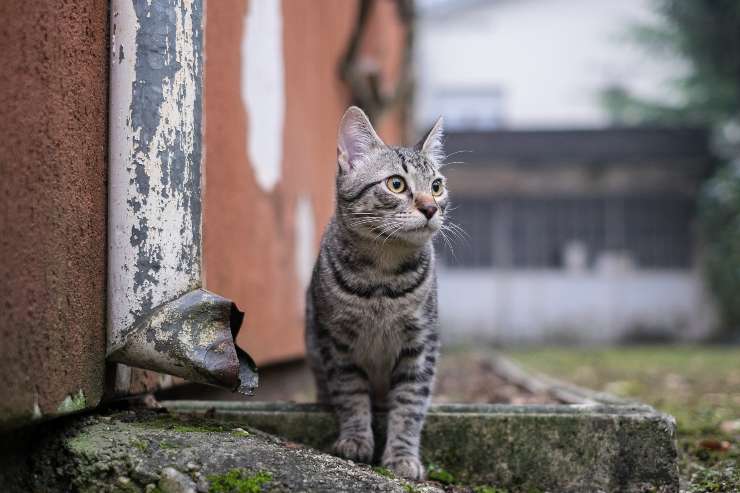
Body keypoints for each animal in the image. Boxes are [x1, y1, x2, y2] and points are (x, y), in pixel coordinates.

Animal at [304, 105, 448, 478]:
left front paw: (402, 456)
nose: (431, 207)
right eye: (396, 184)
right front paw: (356, 439)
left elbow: (410, 405)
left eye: (437, 186)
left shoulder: (420, 344)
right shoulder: (336, 341)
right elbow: (350, 393)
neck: (382, 278)